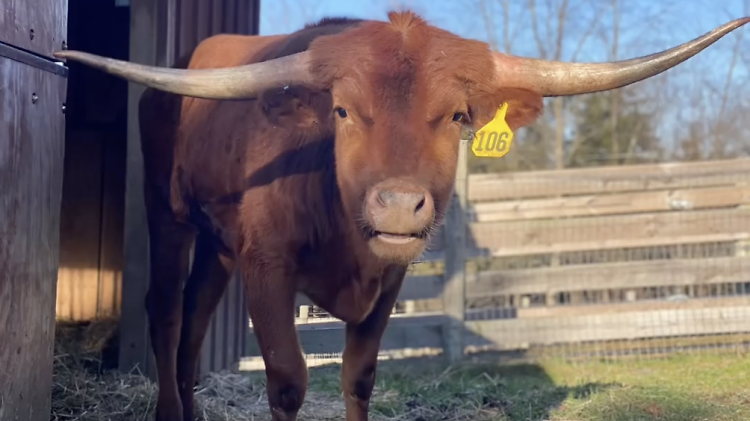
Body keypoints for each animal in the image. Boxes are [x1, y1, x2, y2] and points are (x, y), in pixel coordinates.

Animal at [55, 9, 748, 420]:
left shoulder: (388, 281)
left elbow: (360, 376)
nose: (397, 203)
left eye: (458, 115)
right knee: (168, 311)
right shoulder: (268, 267)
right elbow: (288, 377)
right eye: (341, 111)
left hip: (220, 244)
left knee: (197, 314)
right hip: (168, 214)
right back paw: (169, 411)